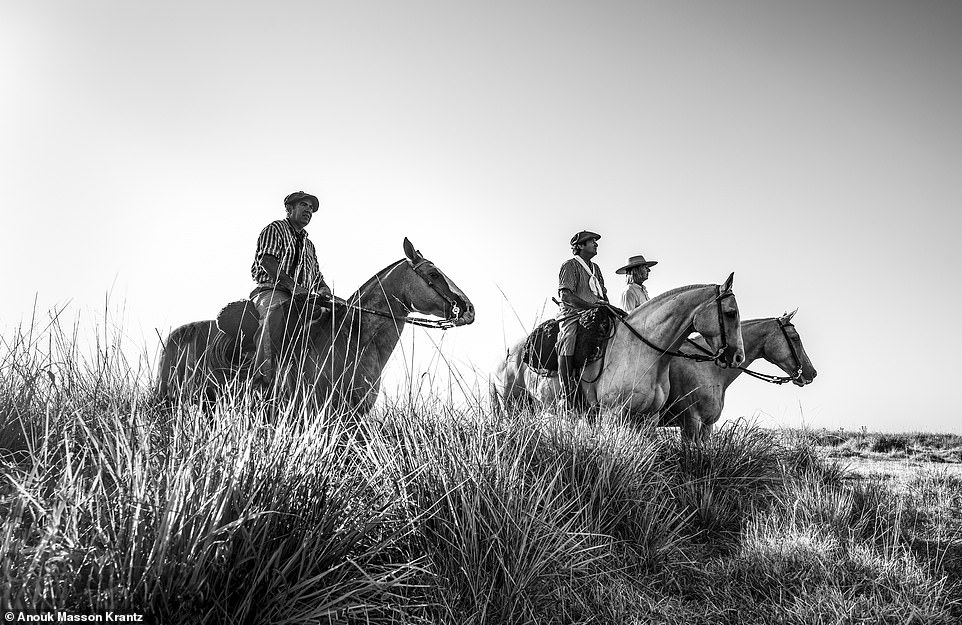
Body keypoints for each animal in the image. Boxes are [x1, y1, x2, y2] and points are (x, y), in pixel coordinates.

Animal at [488, 274, 744, 416]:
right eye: (731, 313)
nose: (737, 357)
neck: (644, 351)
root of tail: (504, 356)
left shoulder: (647, 418)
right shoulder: (614, 414)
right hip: (515, 407)